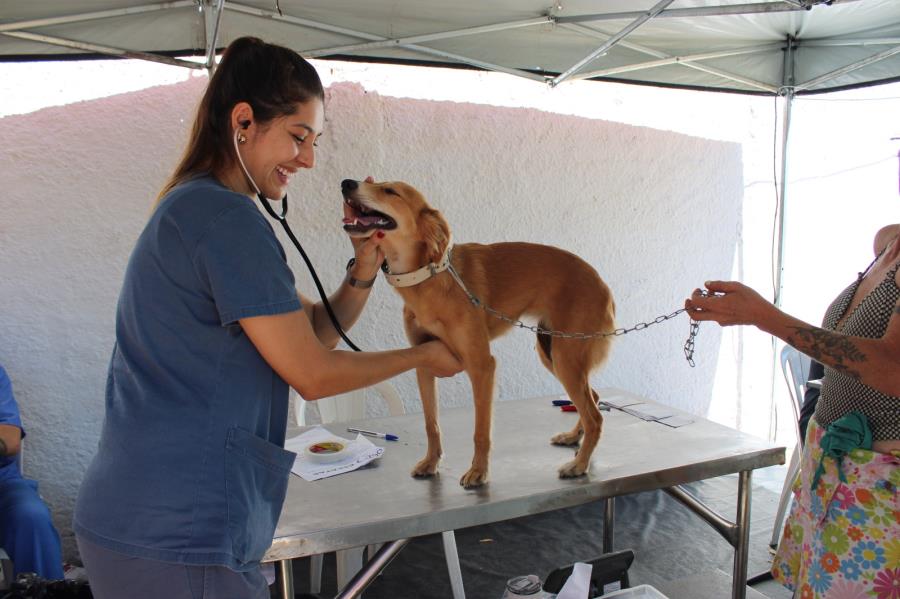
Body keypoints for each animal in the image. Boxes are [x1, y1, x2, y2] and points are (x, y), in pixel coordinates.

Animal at [342, 178, 616, 488]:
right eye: (372, 182)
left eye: (390, 191)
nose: (346, 183)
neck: (430, 280)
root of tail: (602, 285)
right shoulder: (423, 362)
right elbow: (431, 424)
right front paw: (431, 462)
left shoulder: (482, 365)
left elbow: (480, 431)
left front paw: (478, 471)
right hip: (552, 352)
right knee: (593, 398)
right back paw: (573, 439)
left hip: (565, 357)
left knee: (595, 416)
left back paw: (579, 464)